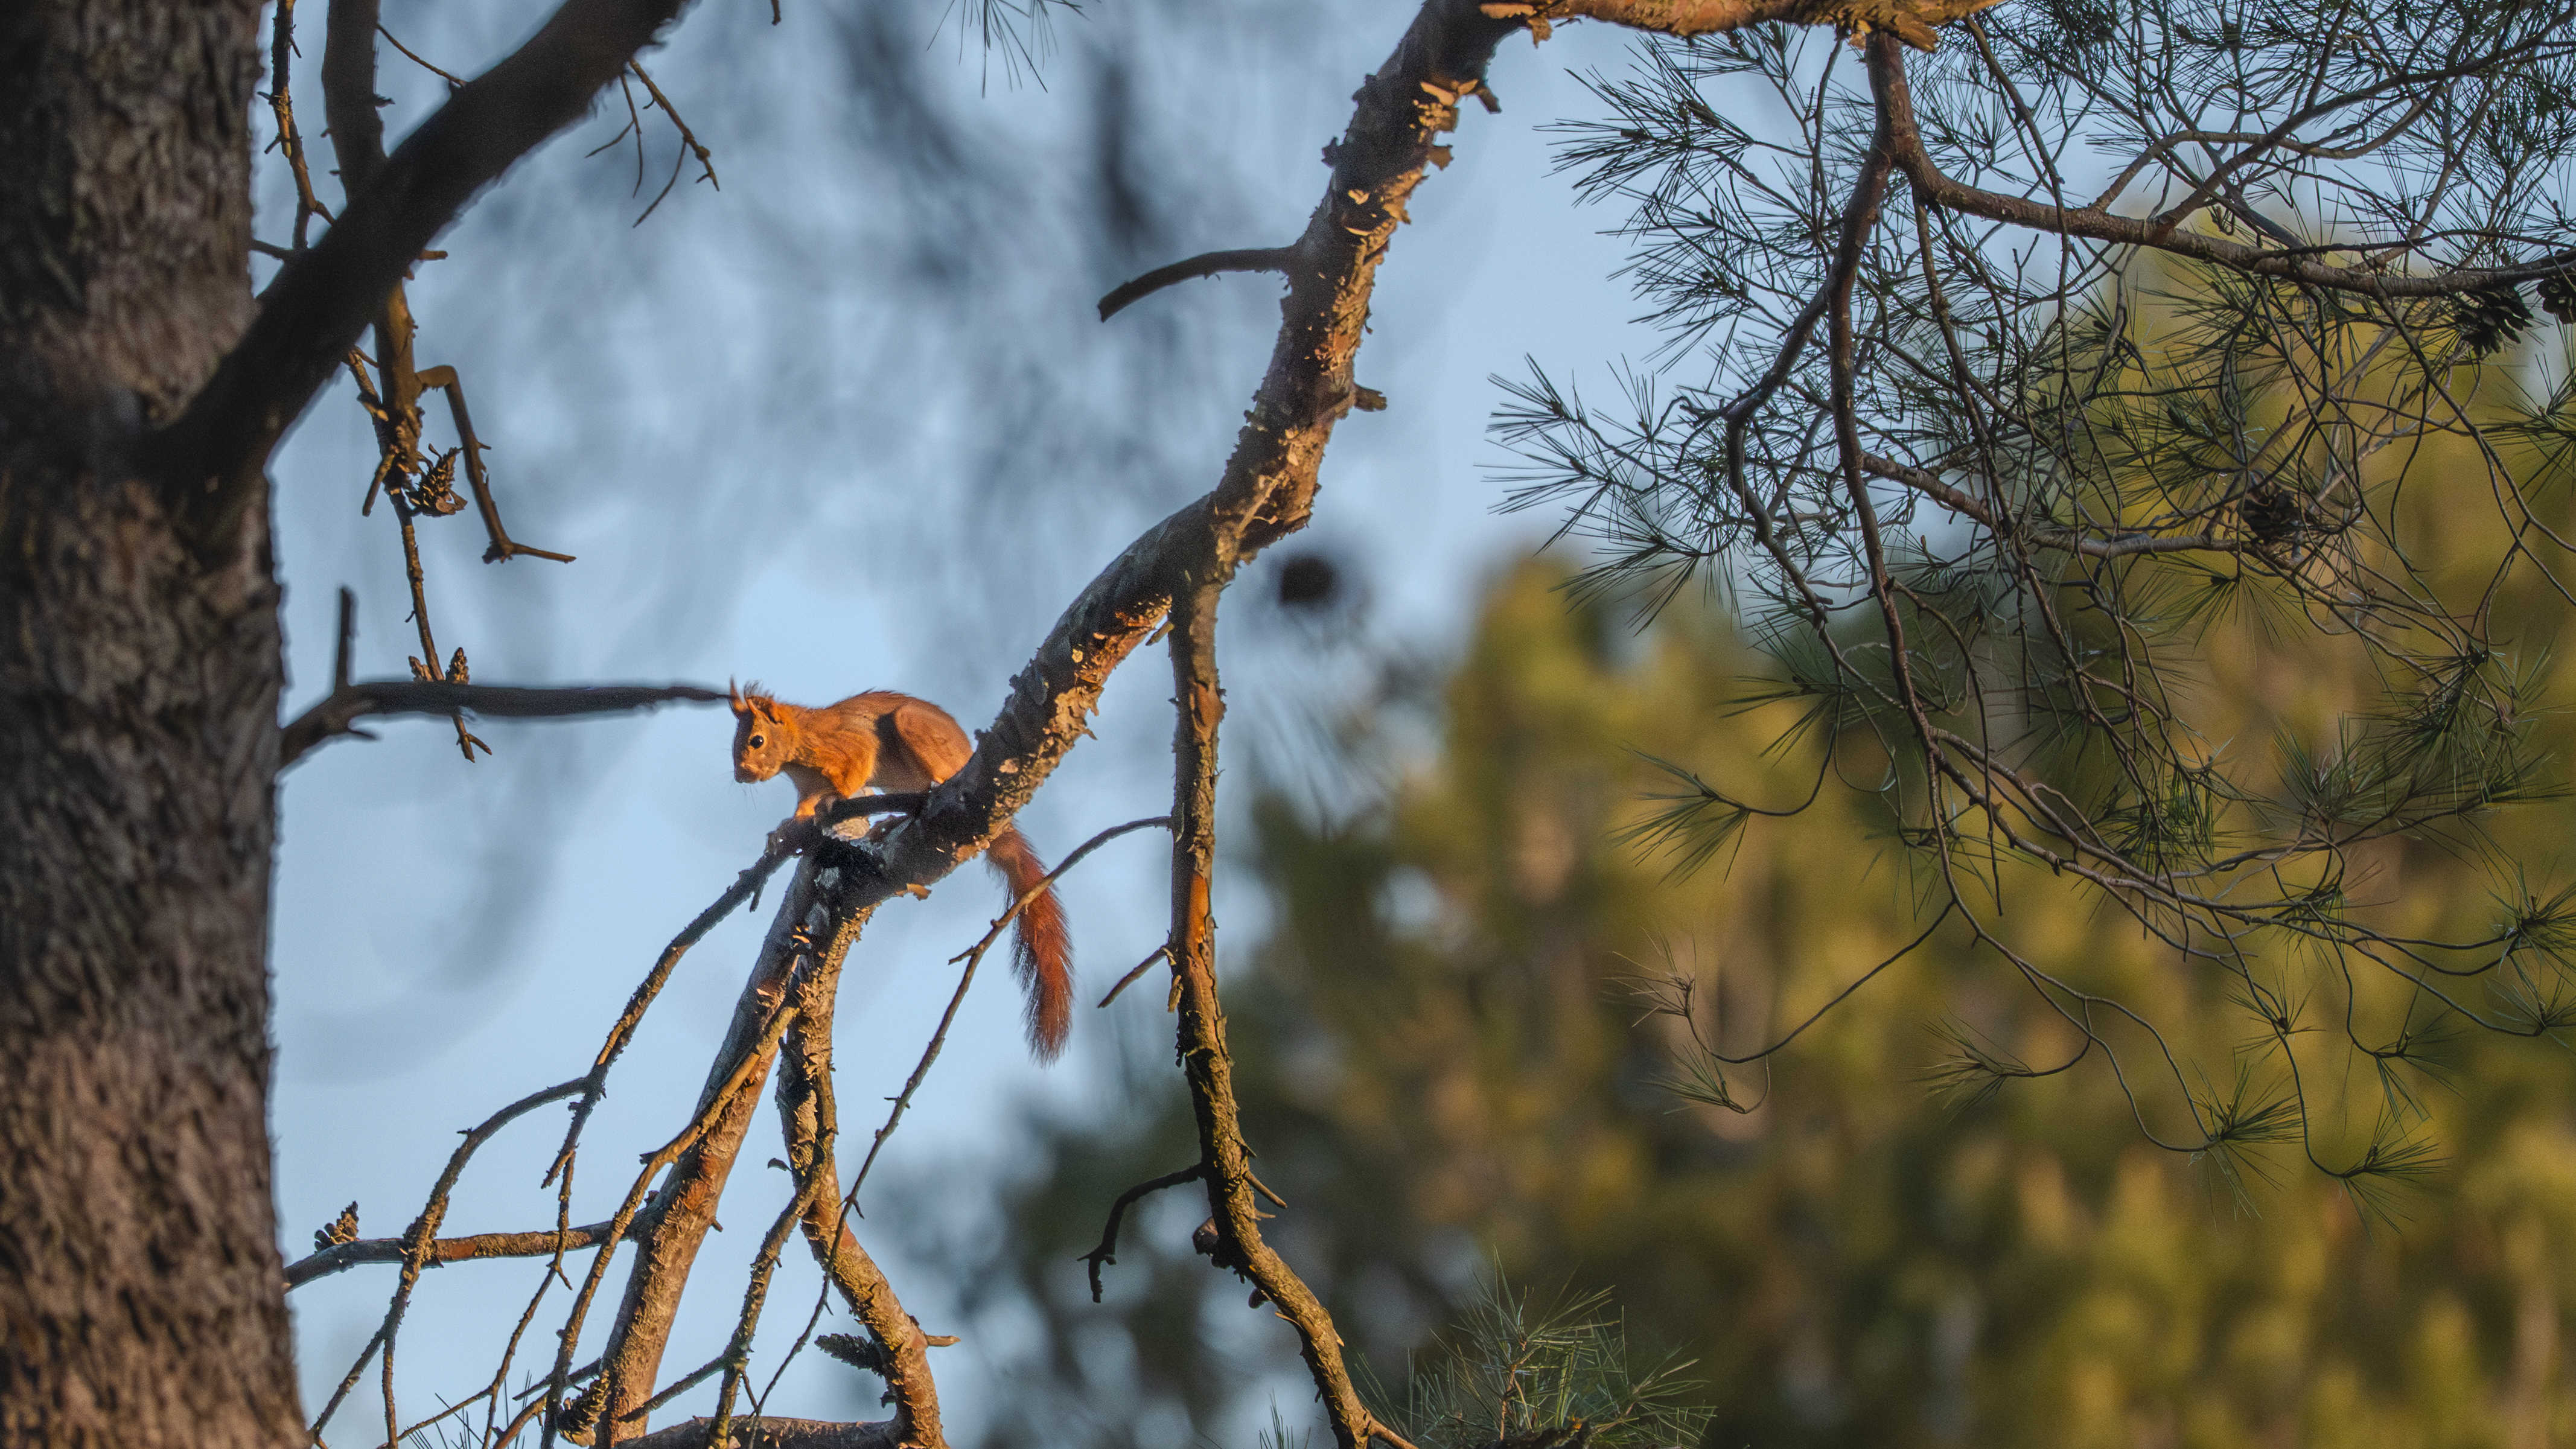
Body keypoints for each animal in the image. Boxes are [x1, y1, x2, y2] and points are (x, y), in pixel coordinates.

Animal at [729, 683, 1074, 1061]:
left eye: (757, 740)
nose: (740, 775)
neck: (799, 741)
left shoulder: (849, 744)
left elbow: (852, 772)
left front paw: (829, 806)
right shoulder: (807, 788)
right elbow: (802, 812)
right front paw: (783, 833)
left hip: (915, 730)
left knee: (937, 780)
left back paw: (928, 794)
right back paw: (892, 823)